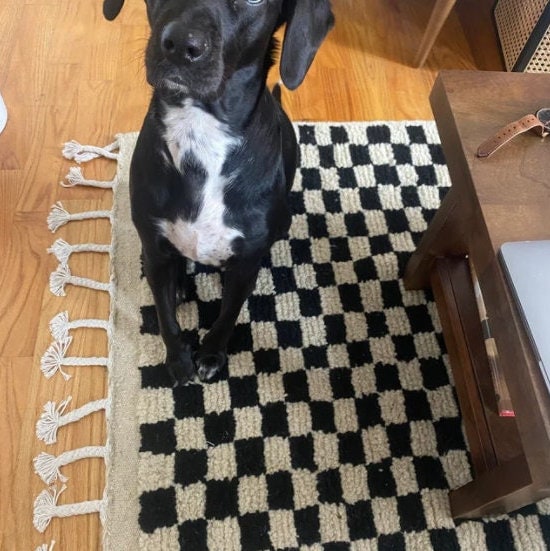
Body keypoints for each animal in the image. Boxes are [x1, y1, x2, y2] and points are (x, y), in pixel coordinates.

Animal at [104, 0, 336, 386]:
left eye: (255, 1)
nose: (180, 45)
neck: (200, 134)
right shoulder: (154, 251)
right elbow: (165, 317)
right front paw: (179, 361)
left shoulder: (244, 266)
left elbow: (227, 315)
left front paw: (210, 355)